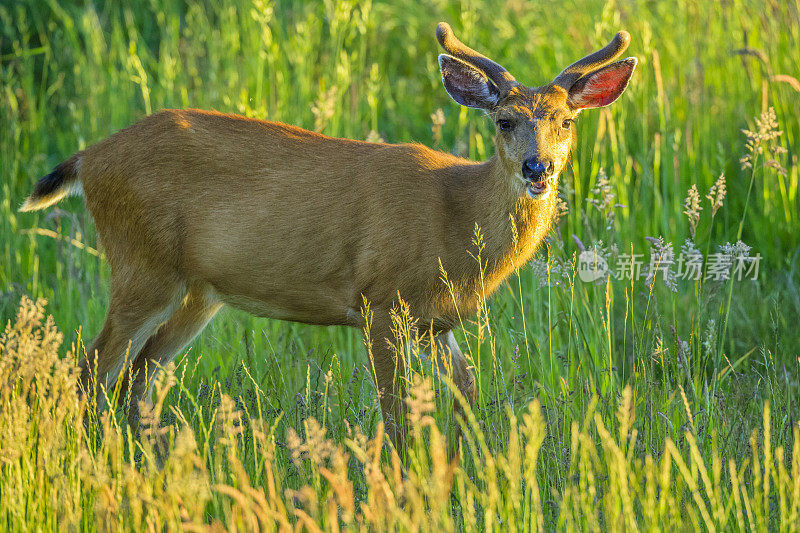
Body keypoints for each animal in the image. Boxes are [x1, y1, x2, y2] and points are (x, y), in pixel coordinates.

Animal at [20, 21, 636, 444]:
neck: (456, 219)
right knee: (91, 372)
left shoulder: (436, 323)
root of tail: (90, 158)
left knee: (134, 379)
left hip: (198, 292)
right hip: (142, 264)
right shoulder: (382, 301)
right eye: (504, 121)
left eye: (567, 120)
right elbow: (395, 415)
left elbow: (466, 396)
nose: (538, 168)